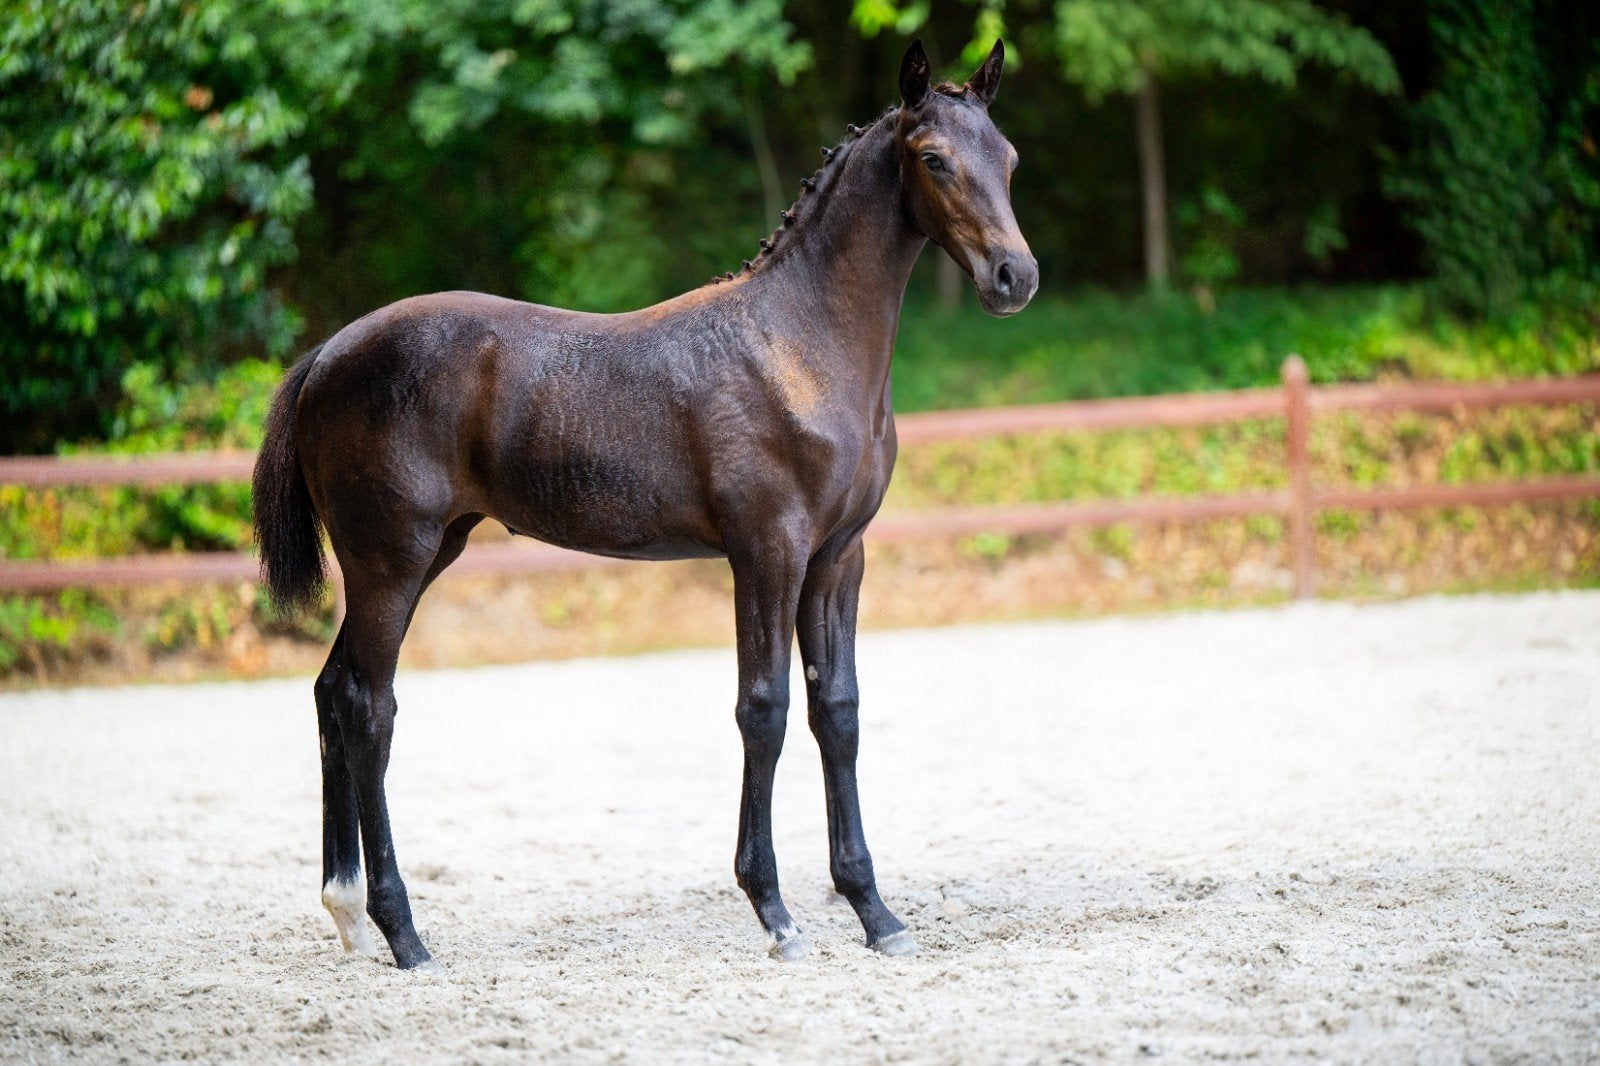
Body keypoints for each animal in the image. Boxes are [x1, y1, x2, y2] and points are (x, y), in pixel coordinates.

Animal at [252, 38, 1037, 971]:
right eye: (934, 159)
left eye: (1009, 158)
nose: (1014, 277)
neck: (800, 345)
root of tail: (330, 353)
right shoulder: (766, 551)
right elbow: (764, 710)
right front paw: (776, 914)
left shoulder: (837, 557)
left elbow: (836, 712)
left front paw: (875, 913)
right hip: (390, 562)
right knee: (370, 708)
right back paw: (404, 933)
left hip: (424, 554)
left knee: (334, 691)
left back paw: (345, 910)